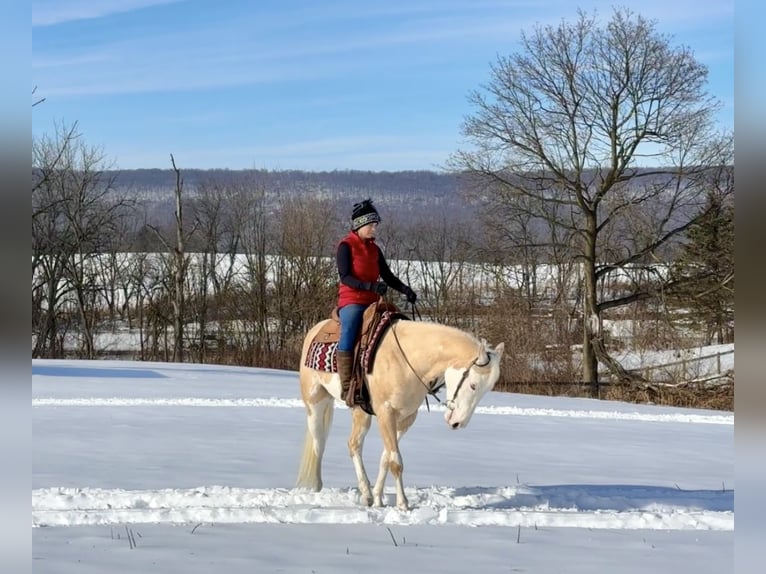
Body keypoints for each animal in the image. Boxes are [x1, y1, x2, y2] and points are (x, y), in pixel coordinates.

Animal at [295, 316, 504, 510]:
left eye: (486, 390)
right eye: (473, 385)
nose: (457, 423)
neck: (406, 359)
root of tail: (316, 329)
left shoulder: (405, 418)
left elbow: (386, 458)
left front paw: (379, 498)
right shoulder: (385, 413)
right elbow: (396, 462)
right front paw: (403, 503)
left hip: (361, 413)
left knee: (353, 444)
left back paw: (367, 494)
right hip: (315, 403)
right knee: (319, 444)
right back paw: (318, 487)